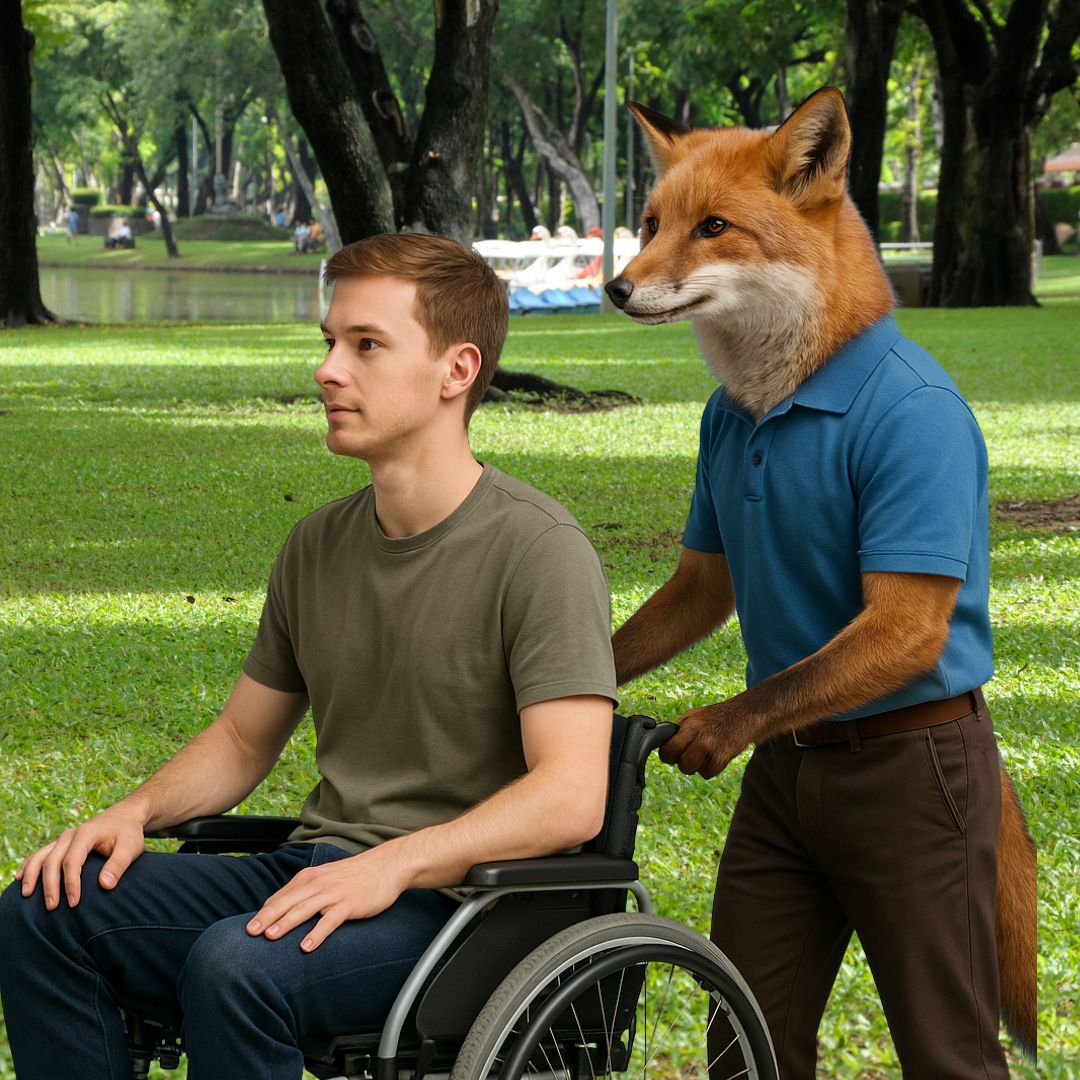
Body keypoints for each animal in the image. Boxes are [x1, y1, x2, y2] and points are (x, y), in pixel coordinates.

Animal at [606, 87, 1037, 1065]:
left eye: (714, 228)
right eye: (649, 224)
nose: (614, 286)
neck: (782, 402)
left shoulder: (918, 491)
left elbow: (793, 680)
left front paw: (712, 731)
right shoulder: (709, 553)